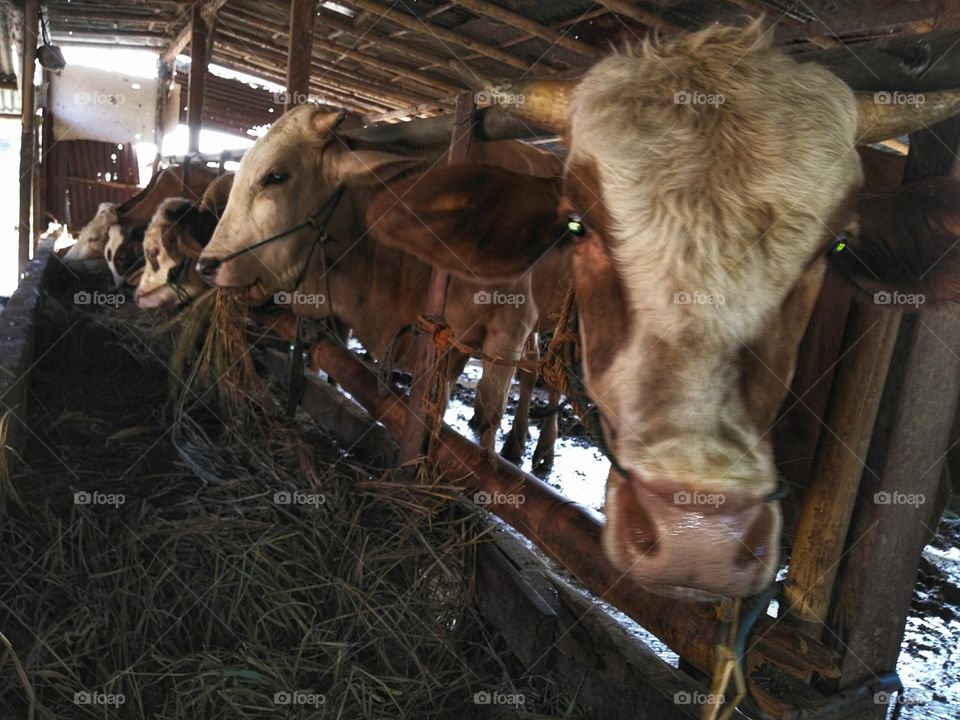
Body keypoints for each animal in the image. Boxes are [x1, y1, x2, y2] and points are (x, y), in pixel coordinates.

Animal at [197, 112, 570, 457]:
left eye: (277, 176)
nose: (208, 264)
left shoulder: (510, 327)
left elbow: (488, 415)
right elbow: (436, 408)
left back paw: (541, 449)